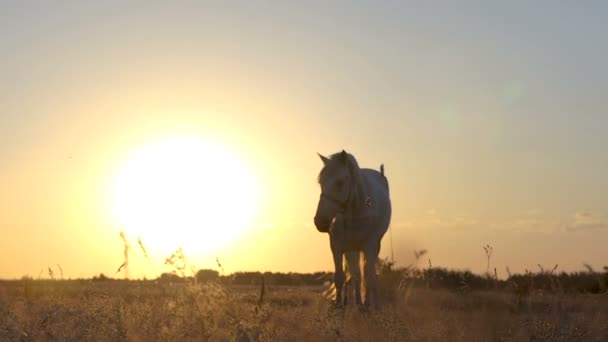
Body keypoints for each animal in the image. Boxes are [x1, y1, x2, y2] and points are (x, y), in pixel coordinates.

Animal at [316, 150, 392, 308]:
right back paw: (357, 303)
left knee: (367, 274)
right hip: (352, 248)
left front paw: (369, 306)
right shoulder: (337, 246)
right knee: (356, 274)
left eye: (340, 182)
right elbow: (340, 277)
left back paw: (370, 304)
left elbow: (369, 277)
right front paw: (338, 307)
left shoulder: (370, 246)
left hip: (371, 246)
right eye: (321, 182)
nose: (320, 222)